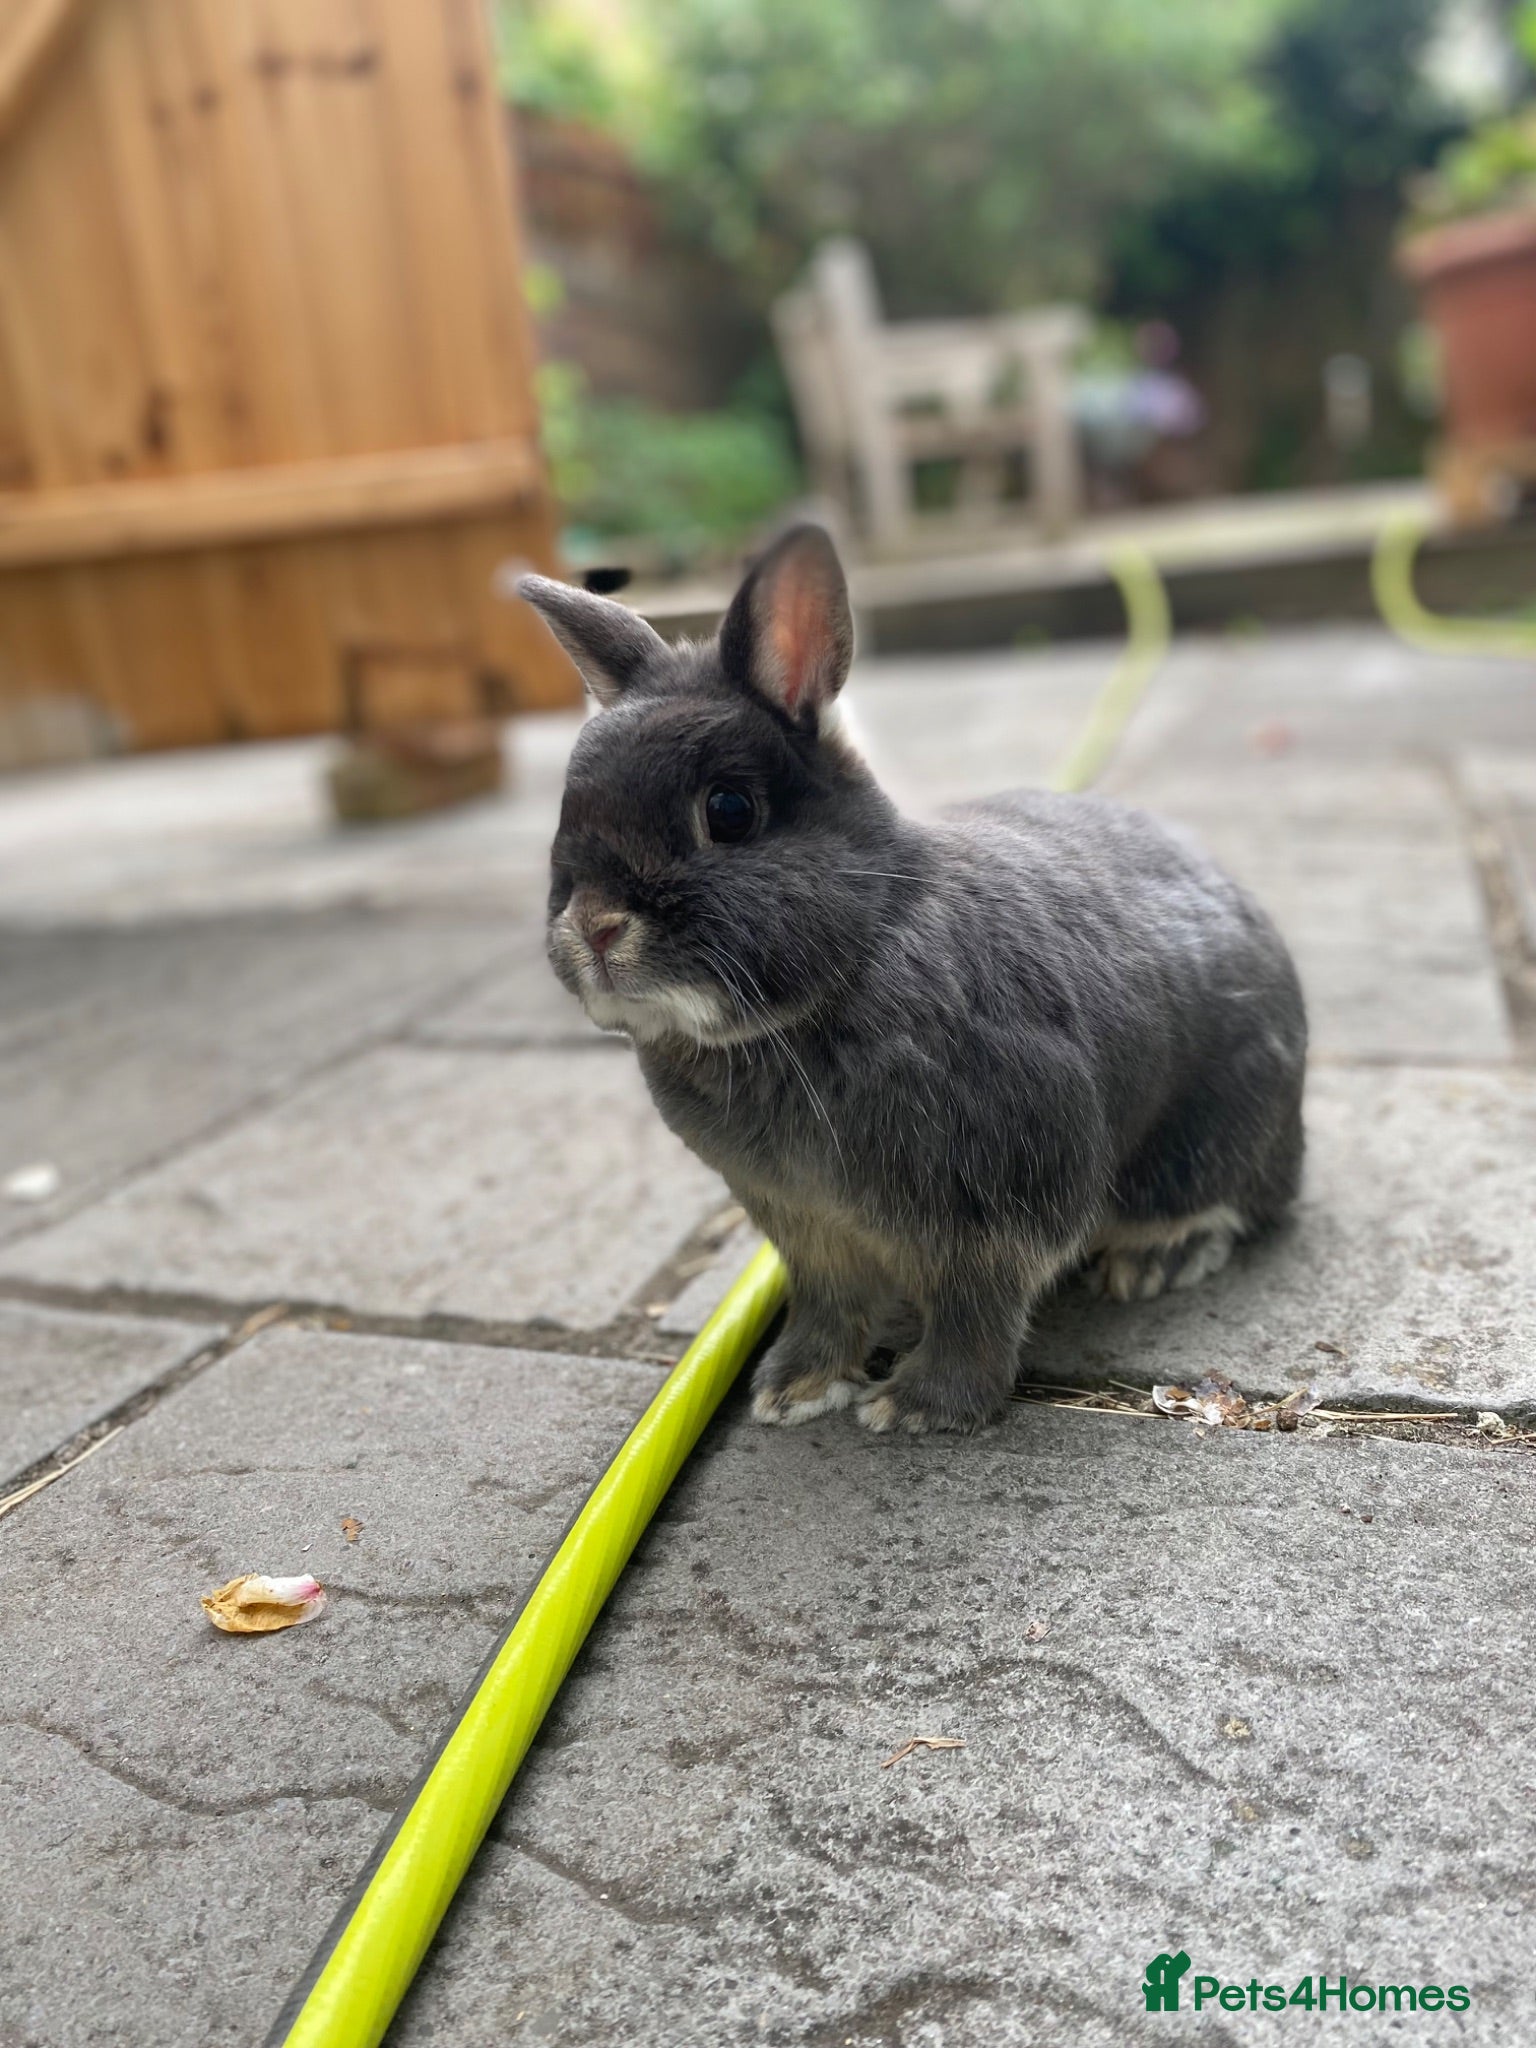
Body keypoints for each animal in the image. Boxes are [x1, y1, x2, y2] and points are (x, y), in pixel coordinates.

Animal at [518, 525, 1306, 1435]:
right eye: (566, 818)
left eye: (728, 811)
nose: (595, 927)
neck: (852, 965)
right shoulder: (804, 1224)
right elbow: (828, 1302)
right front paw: (795, 1389)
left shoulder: (999, 1209)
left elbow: (975, 1308)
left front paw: (917, 1408)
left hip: (1215, 1134)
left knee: (1226, 1202)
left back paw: (1156, 1259)